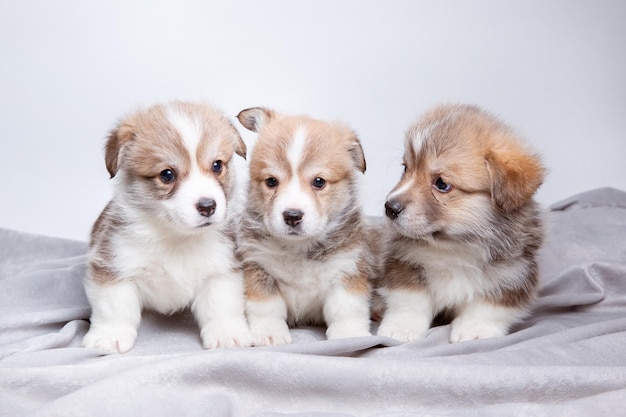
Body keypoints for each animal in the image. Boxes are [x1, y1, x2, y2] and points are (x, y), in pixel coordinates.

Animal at [81, 101, 251, 352]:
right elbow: (115, 309)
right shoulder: (114, 266)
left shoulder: (221, 269)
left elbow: (221, 305)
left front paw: (226, 334)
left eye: (217, 166)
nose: (208, 206)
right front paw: (109, 336)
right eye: (167, 174)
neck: (176, 237)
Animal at [236, 106, 378, 344]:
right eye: (271, 181)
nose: (292, 216)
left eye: (319, 182)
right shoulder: (259, 267)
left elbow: (345, 308)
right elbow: (267, 307)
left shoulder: (347, 267)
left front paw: (349, 335)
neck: (299, 247)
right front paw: (269, 333)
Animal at [372, 104, 544, 342]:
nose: (390, 207)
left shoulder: (512, 275)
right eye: (406, 168)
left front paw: (475, 331)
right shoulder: (404, 263)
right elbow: (408, 302)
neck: (455, 246)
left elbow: (487, 309)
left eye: (441, 183)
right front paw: (401, 329)